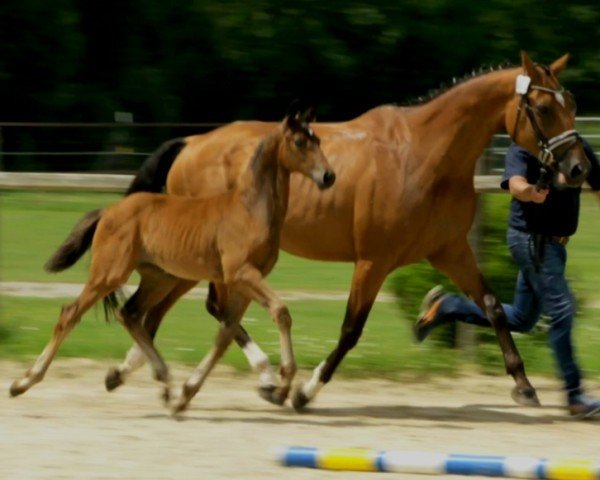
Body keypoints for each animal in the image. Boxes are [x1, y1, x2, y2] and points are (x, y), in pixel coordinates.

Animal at [106, 51, 584, 408]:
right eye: (544, 108)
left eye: (573, 104)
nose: (578, 168)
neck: (425, 155)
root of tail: (192, 143)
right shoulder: (373, 260)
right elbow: (351, 329)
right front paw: (305, 390)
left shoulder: (451, 251)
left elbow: (492, 306)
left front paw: (524, 386)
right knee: (201, 308)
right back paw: (261, 379)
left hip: (193, 261)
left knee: (164, 311)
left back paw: (132, 371)